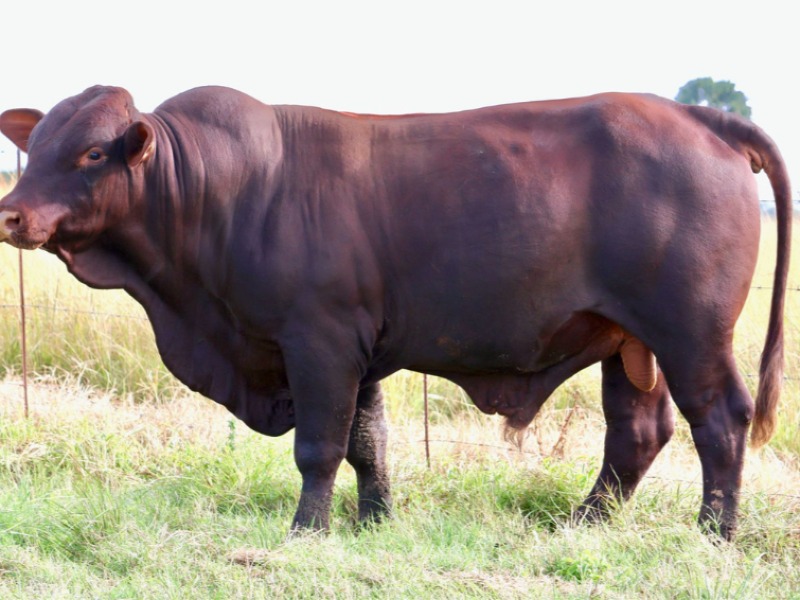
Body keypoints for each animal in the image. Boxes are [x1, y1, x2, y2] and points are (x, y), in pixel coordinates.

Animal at [0, 86, 791, 540]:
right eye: (34, 147)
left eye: (92, 153)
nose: (12, 213)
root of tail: (699, 116)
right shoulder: (359, 350)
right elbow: (368, 443)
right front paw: (374, 521)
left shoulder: (318, 340)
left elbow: (320, 446)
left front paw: (308, 531)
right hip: (630, 344)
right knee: (638, 432)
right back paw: (584, 523)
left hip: (691, 333)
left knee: (719, 421)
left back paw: (713, 531)